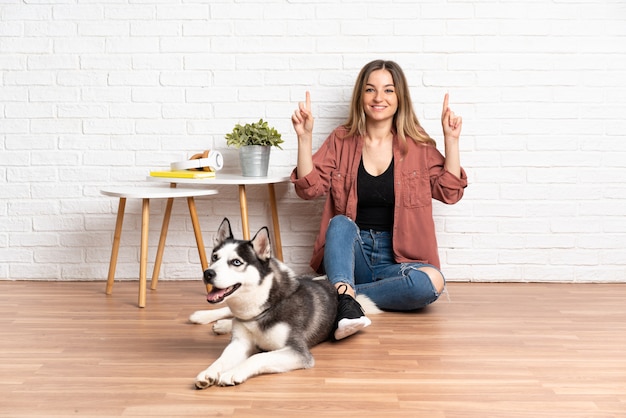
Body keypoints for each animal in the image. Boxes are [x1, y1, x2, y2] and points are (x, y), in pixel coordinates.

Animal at [190, 219, 336, 388]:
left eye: (236, 262)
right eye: (214, 257)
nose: (207, 273)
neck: (261, 310)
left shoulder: (298, 352)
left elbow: (257, 357)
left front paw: (233, 372)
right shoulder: (239, 343)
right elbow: (221, 359)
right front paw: (209, 371)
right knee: (228, 311)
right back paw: (203, 317)